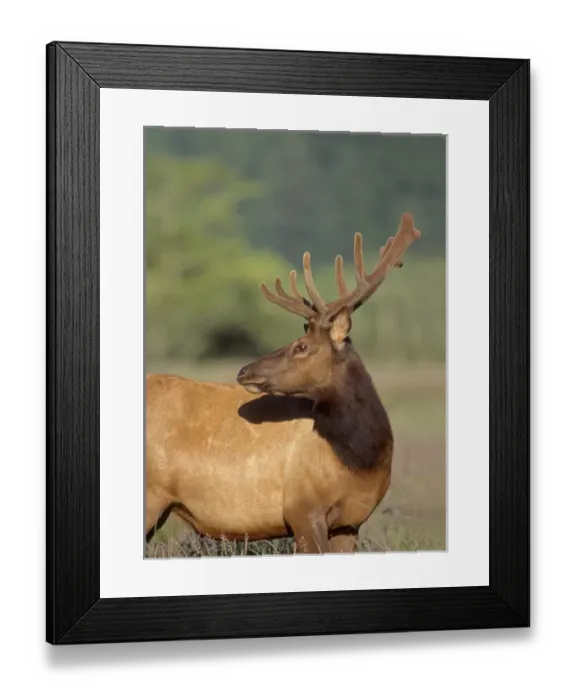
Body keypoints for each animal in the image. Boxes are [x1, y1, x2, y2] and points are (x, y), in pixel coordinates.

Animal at [145, 213, 421, 554]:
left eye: (301, 346)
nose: (244, 371)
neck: (360, 461)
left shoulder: (350, 522)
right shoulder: (302, 508)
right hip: (150, 495)